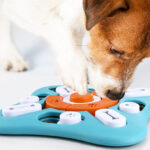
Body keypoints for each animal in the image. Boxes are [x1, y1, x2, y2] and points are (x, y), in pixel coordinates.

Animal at [0, 0, 150, 100]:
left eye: (142, 59)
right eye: (115, 50)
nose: (116, 95)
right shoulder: (22, 7)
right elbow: (59, 26)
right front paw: (75, 71)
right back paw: (11, 56)